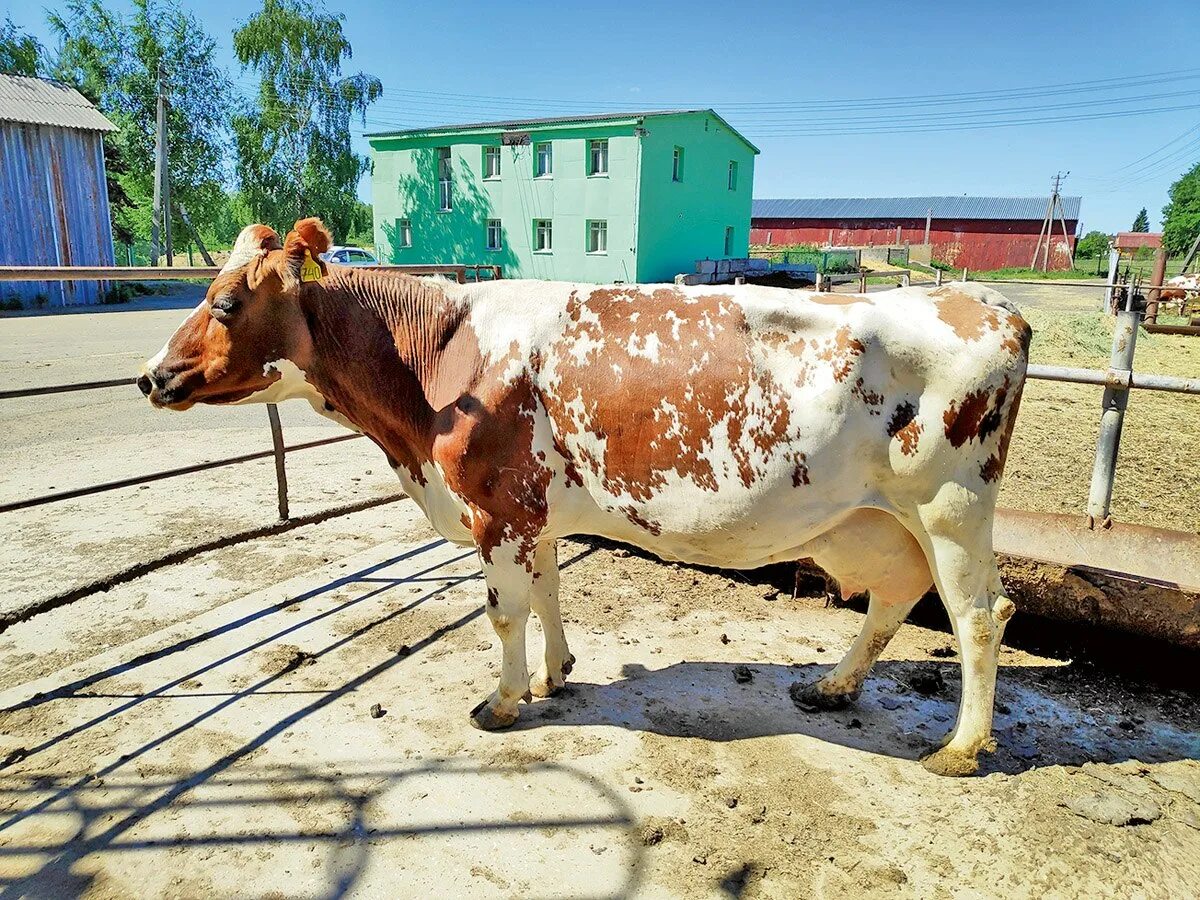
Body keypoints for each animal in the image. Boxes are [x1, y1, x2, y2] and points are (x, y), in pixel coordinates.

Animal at [140, 218, 1032, 777]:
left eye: (225, 302)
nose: (150, 375)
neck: (438, 364)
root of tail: (984, 300)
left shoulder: (496, 508)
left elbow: (505, 612)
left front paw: (502, 701)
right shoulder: (533, 513)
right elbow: (546, 593)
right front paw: (554, 675)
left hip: (951, 506)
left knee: (979, 615)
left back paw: (961, 748)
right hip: (879, 519)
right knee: (897, 594)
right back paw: (834, 685)